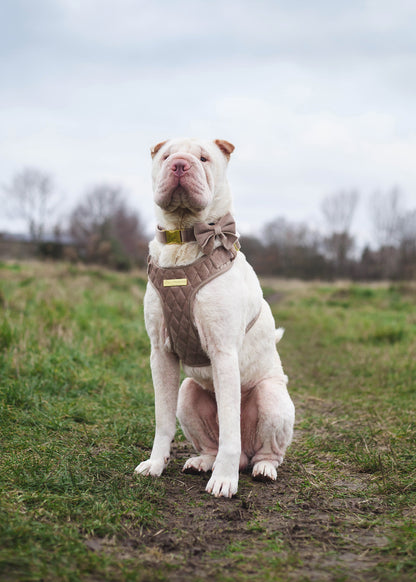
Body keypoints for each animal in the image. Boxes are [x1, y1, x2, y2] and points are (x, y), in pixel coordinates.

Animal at [135, 139, 294, 500]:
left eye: (204, 158)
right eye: (166, 156)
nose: (180, 165)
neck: (185, 237)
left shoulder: (223, 352)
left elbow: (231, 432)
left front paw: (224, 481)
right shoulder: (160, 354)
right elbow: (161, 420)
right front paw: (155, 464)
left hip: (271, 398)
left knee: (264, 452)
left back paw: (262, 469)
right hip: (188, 393)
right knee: (211, 443)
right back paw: (202, 462)